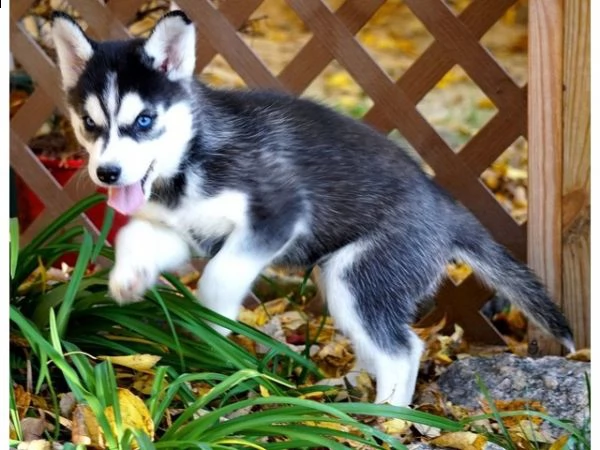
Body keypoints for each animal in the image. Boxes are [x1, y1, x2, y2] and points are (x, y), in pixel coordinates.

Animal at [54, 10, 576, 406]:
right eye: (89, 123)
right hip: (341, 281)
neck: (191, 155)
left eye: (144, 121)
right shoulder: (183, 229)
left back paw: (387, 417)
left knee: (403, 350)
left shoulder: (278, 212)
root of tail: (447, 208)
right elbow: (134, 235)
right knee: (381, 345)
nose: (107, 173)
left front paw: (215, 318)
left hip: (360, 278)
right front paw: (128, 279)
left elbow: (220, 275)